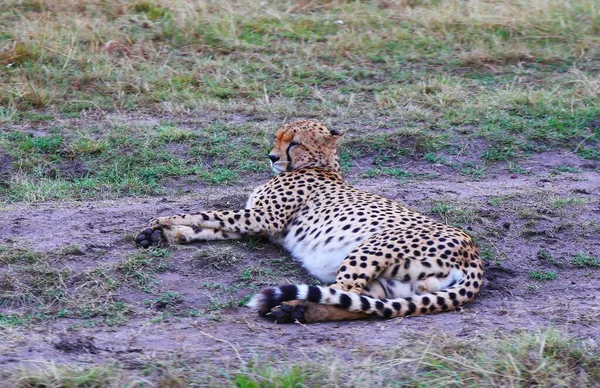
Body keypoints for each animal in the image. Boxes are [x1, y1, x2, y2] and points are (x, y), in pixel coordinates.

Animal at [135, 119, 482, 322]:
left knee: (346, 291)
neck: (322, 165)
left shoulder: (263, 218)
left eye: (295, 142)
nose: (272, 157)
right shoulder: (260, 226)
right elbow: (212, 225)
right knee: (365, 304)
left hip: (370, 248)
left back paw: (293, 307)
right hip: (394, 285)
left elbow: (209, 213)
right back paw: (299, 310)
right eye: (278, 138)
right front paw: (167, 234)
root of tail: (473, 252)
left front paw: (166, 219)